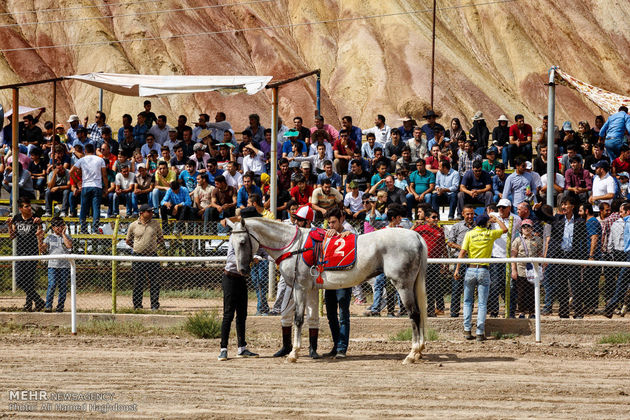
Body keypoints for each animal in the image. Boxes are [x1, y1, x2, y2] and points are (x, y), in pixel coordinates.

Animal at [227, 217, 430, 364]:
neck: (294, 246)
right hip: (411, 285)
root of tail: (415, 236)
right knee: (419, 313)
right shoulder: (308, 289)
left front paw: (293, 354)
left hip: (403, 285)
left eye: (243, 242)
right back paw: (419, 351)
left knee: (414, 314)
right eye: (231, 243)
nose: (242, 270)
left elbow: (298, 319)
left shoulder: (300, 288)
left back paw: (412, 354)